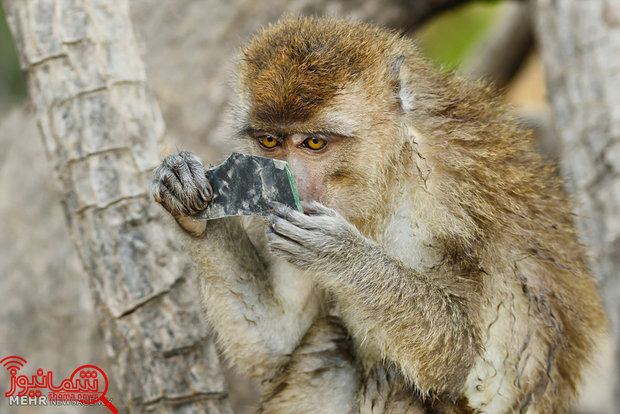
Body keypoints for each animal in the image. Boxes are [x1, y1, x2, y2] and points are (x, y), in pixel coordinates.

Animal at [151, 16, 607, 413]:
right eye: (269, 141)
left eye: (314, 143)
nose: (286, 180)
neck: (387, 178)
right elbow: (277, 340)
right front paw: (187, 198)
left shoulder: (448, 207)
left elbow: (458, 358)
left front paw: (342, 255)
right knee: (327, 347)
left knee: (397, 381)